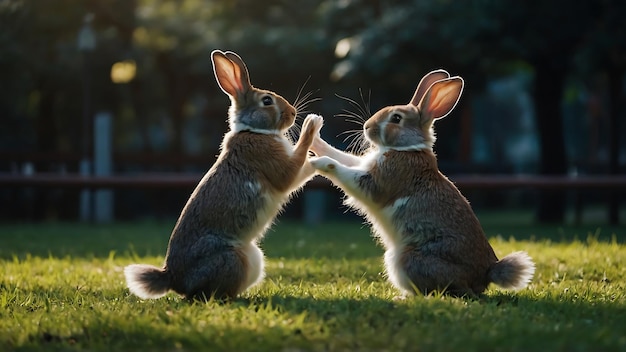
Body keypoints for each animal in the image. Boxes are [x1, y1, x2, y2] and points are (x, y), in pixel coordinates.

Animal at [125, 51, 324, 302]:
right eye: (267, 101)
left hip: (252, 258)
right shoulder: (280, 169)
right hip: (233, 259)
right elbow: (297, 166)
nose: (293, 113)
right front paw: (313, 125)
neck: (253, 130)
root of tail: (173, 278)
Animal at [308, 69, 532, 296]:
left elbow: (344, 170)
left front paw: (318, 162)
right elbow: (342, 157)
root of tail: (485, 274)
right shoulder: (364, 164)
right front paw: (314, 136)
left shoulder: (377, 182)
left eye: (396, 118)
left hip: (406, 259)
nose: (367, 127)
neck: (407, 148)